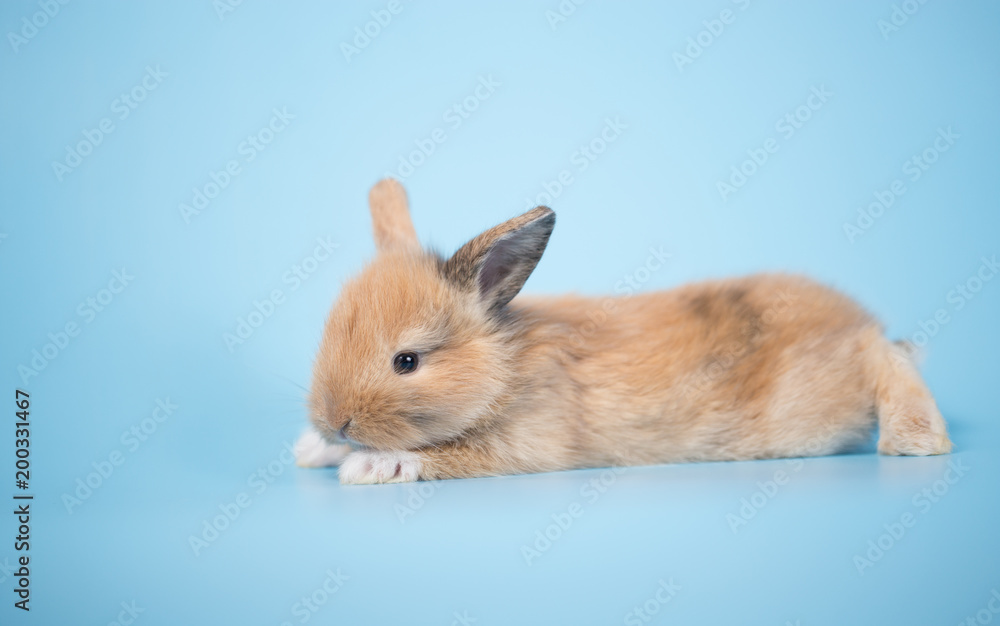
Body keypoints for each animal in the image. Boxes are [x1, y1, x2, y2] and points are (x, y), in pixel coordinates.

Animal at [296, 178, 952, 486]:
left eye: (406, 361)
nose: (334, 421)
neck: (503, 370)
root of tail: (854, 319)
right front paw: (317, 451)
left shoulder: (529, 442)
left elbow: (441, 454)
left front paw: (371, 466)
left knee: (884, 355)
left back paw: (917, 440)